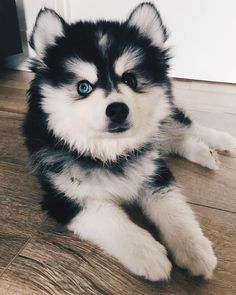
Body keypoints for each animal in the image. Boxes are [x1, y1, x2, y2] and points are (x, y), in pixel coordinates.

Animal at [22, 3, 236, 284]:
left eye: (131, 80)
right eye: (83, 87)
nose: (117, 110)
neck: (109, 152)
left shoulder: (155, 173)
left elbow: (175, 210)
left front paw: (194, 248)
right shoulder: (63, 198)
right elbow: (111, 220)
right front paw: (149, 254)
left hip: (165, 118)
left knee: (182, 127)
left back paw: (220, 142)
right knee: (176, 139)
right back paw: (204, 152)